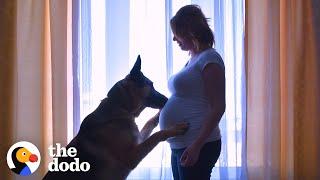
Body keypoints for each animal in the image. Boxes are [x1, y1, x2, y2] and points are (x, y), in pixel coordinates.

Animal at [42, 55, 188, 179]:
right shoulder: (131, 157)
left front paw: (159, 115)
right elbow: (157, 135)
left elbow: (149, 123)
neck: (120, 107)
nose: (167, 99)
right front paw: (174, 129)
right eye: (151, 85)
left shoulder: (138, 140)